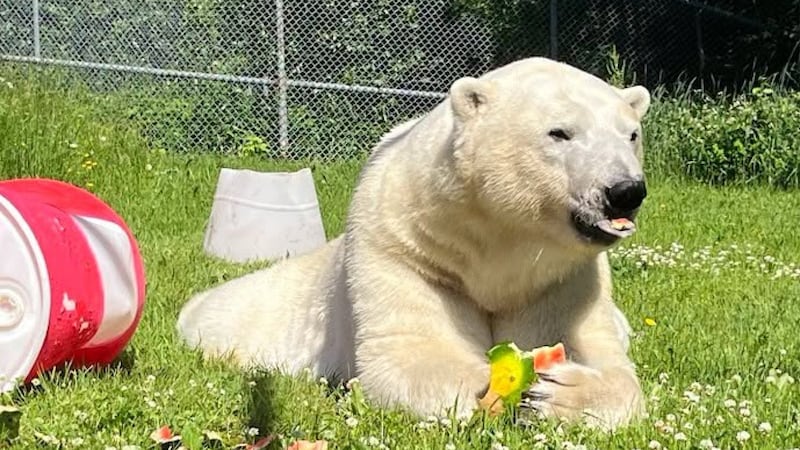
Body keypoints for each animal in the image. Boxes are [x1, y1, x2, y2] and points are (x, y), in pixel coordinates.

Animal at [176, 57, 652, 430]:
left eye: (631, 135)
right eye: (559, 132)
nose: (625, 191)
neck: (498, 245)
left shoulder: (561, 278)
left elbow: (603, 360)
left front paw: (559, 391)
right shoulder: (405, 249)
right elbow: (407, 350)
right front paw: (486, 385)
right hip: (253, 316)